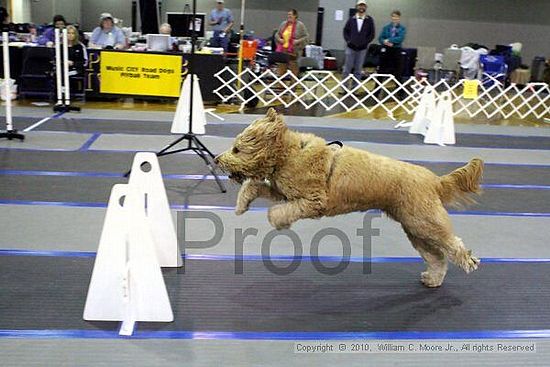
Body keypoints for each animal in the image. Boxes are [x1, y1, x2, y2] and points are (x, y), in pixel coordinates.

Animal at [216, 108, 484, 288]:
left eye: (237, 149)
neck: (289, 153)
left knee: (453, 244)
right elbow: (254, 186)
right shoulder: (283, 192)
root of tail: (434, 180)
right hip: (415, 230)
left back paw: (470, 261)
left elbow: (279, 211)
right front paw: (242, 204)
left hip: (425, 222)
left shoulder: (312, 201)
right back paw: (433, 279)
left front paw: (278, 221)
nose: (217, 159)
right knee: (437, 257)